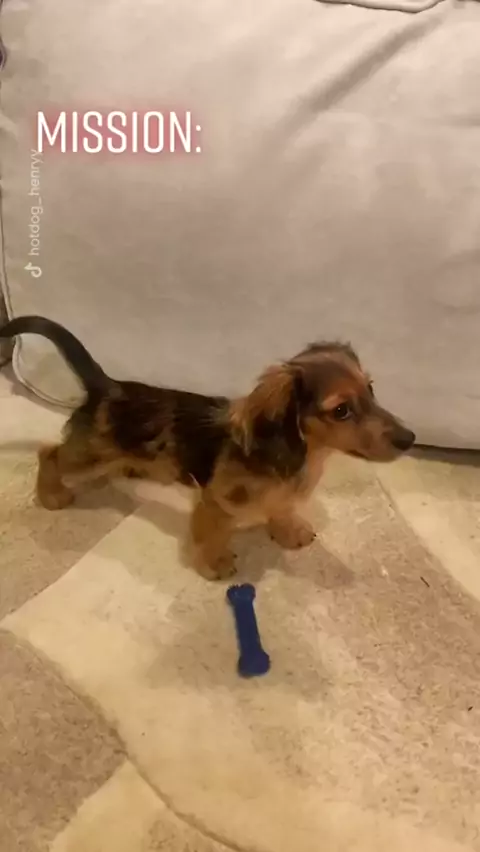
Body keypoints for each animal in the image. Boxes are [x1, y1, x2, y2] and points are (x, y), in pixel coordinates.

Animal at [0, 316, 415, 580]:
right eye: (341, 410)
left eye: (371, 388)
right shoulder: (215, 502)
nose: (409, 439)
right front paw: (214, 563)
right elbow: (212, 533)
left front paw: (289, 530)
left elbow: (281, 509)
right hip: (90, 455)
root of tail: (108, 386)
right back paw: (51, 495)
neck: (304, 455)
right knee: (49, 452)